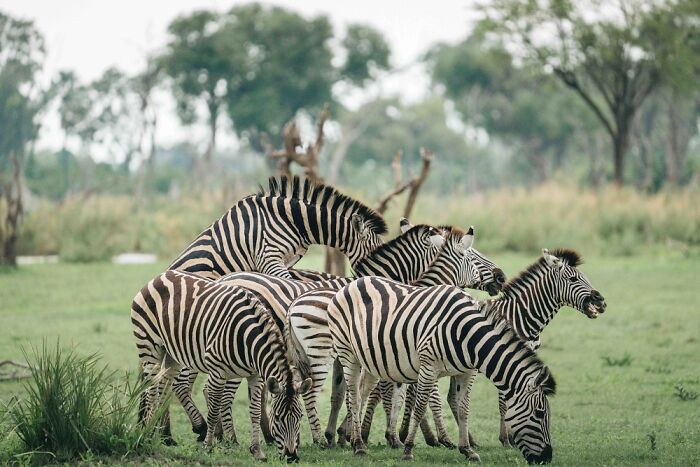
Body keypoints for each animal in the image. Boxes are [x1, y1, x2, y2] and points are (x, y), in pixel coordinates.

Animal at [131, 270, 312, 462]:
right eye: (277, 417)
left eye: (300, 416)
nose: (292, 457)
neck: (248, 339)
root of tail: (161, 276)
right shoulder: (218, 373)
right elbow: (213, 409)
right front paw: (208, 446)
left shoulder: (255, 375)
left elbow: (255, 412)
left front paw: (257, 451)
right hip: (149, 347)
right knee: (151, 391)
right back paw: (147, 434)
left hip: (172, 354)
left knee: (164, 388)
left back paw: (158, 433)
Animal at [287, 224, 506, 447]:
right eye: (472, 254)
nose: (501, 278)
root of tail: (294, 304)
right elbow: (421, 396)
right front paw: (439, 437)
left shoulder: (395, 355)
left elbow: (390, 394)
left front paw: (366, 433)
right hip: (321, 352)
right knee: (310, 391)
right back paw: (318, 439)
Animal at [326, 277, 556, 463]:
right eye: (539, 413)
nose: (547, 458)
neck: (468, 335)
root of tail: (352, 283)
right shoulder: (429, 367)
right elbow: (420, 409)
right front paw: (408, 450)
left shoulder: (467, 372)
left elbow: (463, 409)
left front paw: (467, 450)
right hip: (348, 353)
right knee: (353, 398)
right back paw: (358, 447)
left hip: (371, 361)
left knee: (361, 394)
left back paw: (354, 439)